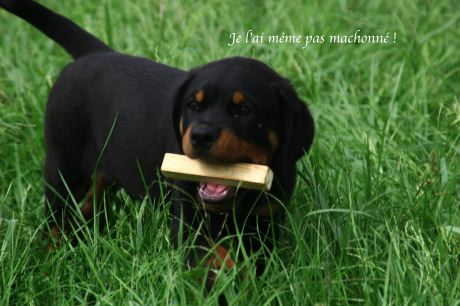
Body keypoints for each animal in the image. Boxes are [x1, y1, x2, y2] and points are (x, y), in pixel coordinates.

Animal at [0, 0, 314, 280]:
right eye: (193, 106)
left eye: (244, 110)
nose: (200, 135)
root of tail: (94, 54)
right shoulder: (187, 220)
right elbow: (213, 255)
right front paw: (227, 279)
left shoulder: (266, 221)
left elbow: (256, 259)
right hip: (65, 165)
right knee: (56, 219)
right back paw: (54, 260)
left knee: (87, 205)